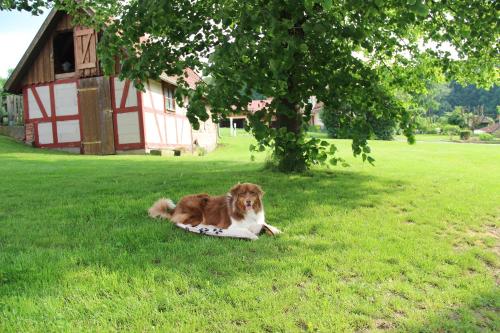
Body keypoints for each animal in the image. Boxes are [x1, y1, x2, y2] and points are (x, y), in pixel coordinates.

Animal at [148, 182, 282, 239]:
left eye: (252, 193)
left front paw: (276, 230)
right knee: (185, 223)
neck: (246, 212)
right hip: (198, 209)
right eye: (243, 194)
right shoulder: (231, 226)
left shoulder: (259, 221)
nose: (248, 201)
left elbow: (266, 225)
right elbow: (246, 230)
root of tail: (176, 208)